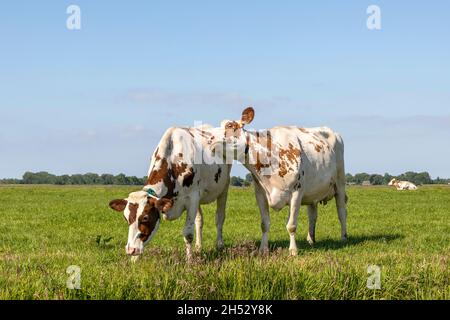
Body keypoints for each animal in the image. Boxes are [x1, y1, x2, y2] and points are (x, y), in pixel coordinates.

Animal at [107, 124, 230, 262]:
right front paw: (134, 260)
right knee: (199, 221)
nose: (131, 249)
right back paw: (198, 248)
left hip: (224, 186)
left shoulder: (192, 198)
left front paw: (189, 261)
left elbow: (188, 233)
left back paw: (219, 245)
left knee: (219, 218)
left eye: (145, 217)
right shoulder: (194, 198)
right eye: (126, 218)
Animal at [208, 107, 348, 255]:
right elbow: (264, 224)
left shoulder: (297, 192)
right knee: (312, 215)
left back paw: (343, 237)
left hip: (340, 182)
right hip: (313, 192)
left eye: (230, 125)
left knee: (342, 211)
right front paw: (263, 249)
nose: (209, 138)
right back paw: (311, 239)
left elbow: (291, 225)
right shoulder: (260, 193)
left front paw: (293, 250)